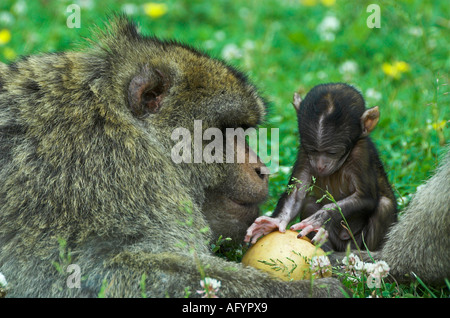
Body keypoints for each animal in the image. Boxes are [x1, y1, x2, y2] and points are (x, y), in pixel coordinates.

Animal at [246, 82, 398, 251]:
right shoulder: (304, 153)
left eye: (332, 152)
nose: (319, 165)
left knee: (384, 206)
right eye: (313, 150)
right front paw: (275, 221)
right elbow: (297, 194)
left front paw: (323, 216)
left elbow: (365, 197)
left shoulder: (361, 154)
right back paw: (323, 242)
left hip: (356, 243)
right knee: (309, 204)